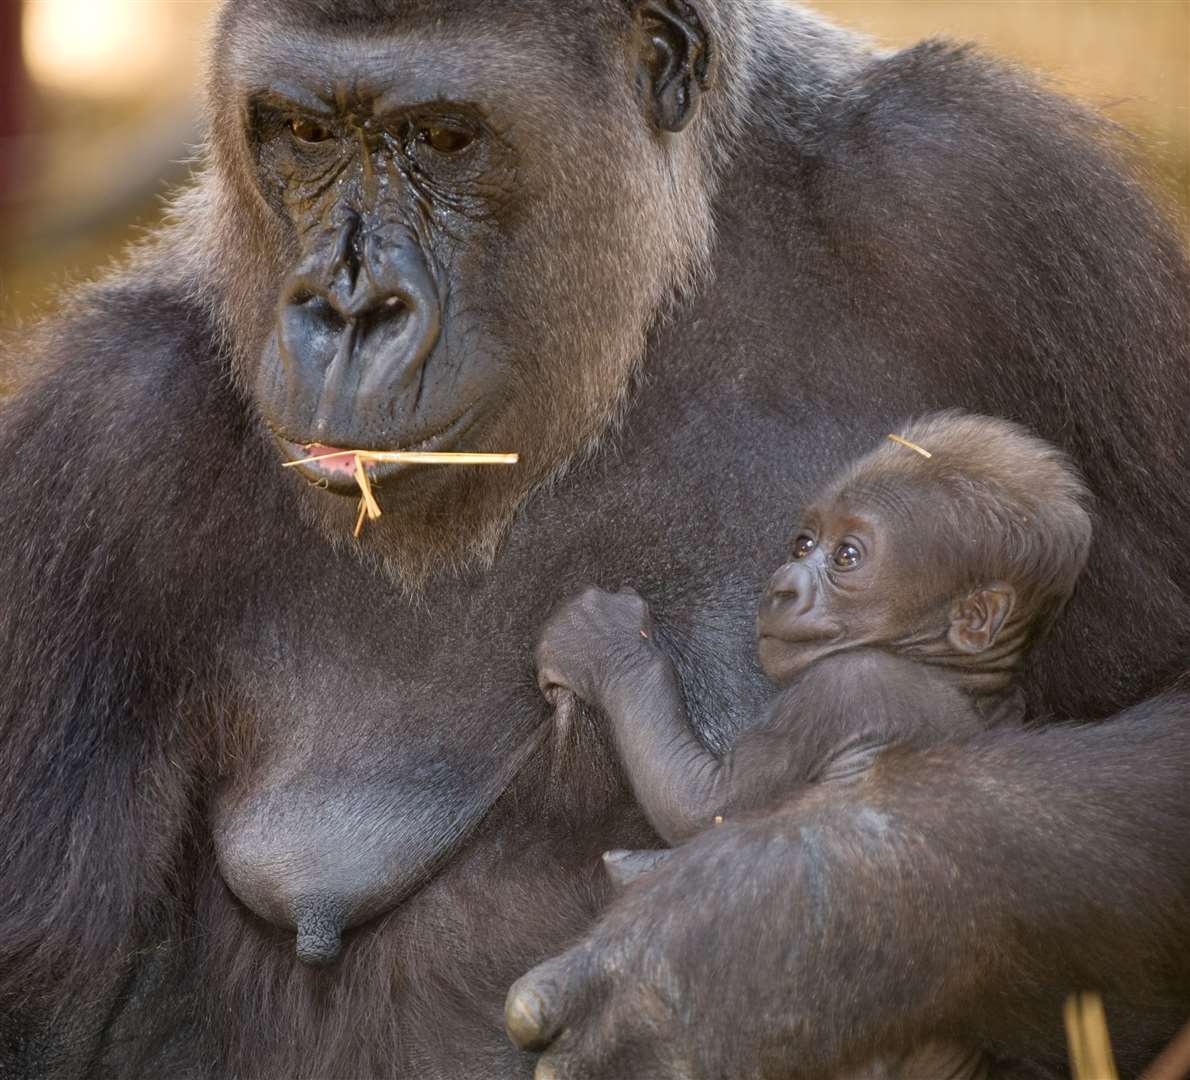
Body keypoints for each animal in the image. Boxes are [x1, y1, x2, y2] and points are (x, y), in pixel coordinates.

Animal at [535, 409, 1090, 1075]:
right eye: (803, 544)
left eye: (847, 556)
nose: (781, 586)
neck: (948, 666)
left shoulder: (841, 688)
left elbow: (705, 807)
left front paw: (607, 644)